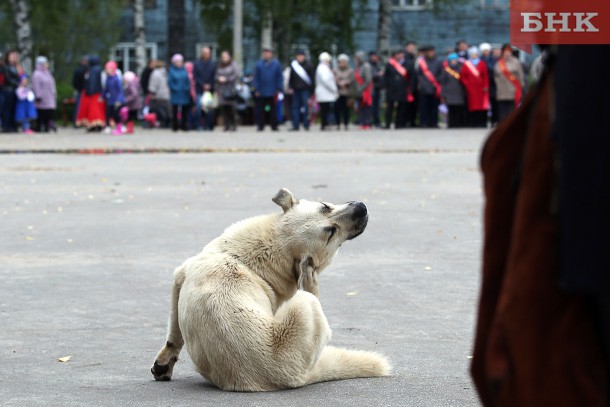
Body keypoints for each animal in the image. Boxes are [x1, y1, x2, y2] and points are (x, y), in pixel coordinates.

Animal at [151, 188, 390, 392]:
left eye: (325, 206)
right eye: (331, 231)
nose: (362, 207)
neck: (271, 246)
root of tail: (291, 377)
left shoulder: (180, 279)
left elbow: (175, 331)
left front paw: (163, 364)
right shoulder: (180, 276)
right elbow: (174, 333)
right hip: (307, 302)